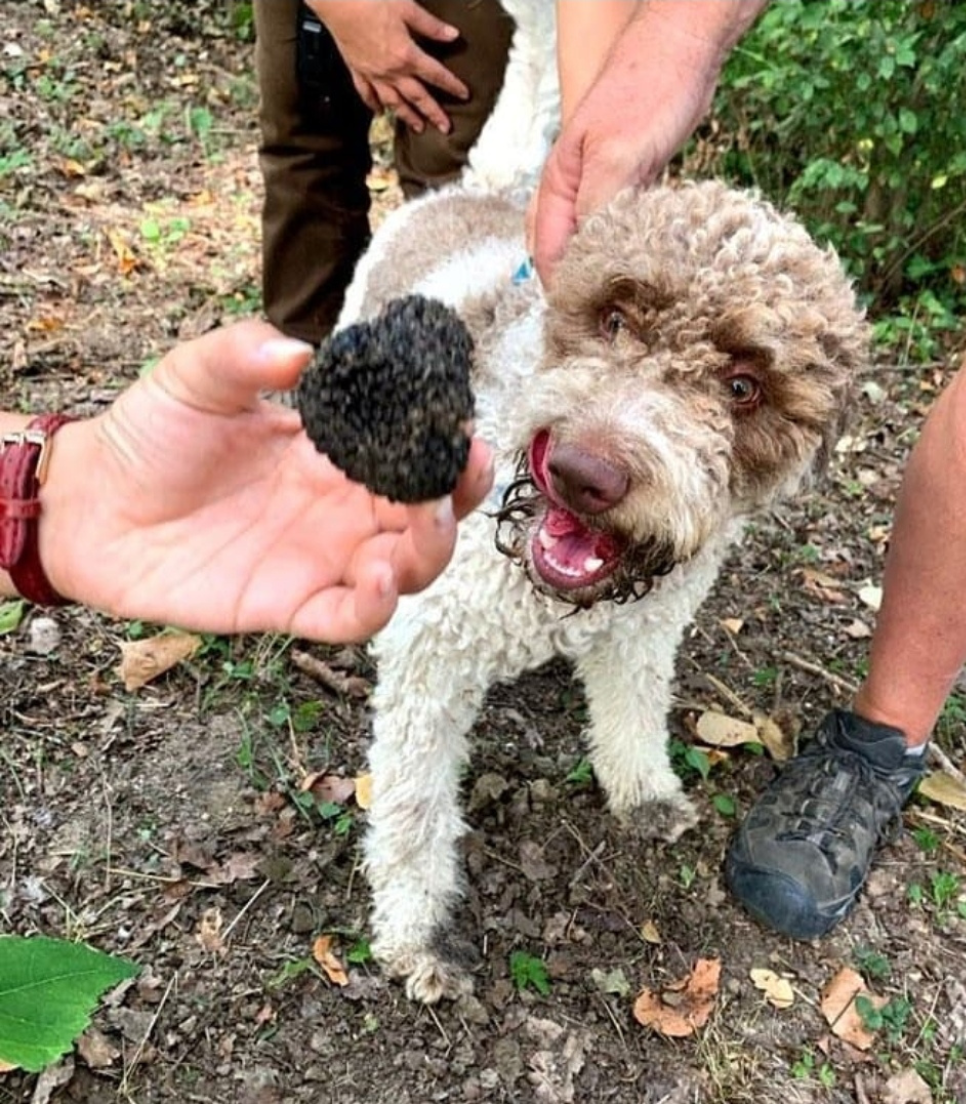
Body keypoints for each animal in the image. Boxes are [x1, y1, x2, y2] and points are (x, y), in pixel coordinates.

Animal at [333, 170, 869, 1002]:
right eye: (614, 321)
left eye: (742, 386)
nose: (583, 473)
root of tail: (481, 184)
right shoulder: (433, 655)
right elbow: (415, 808)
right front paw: (418, 930)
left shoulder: (644, 630)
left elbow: (635, 710)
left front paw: (643, 792)